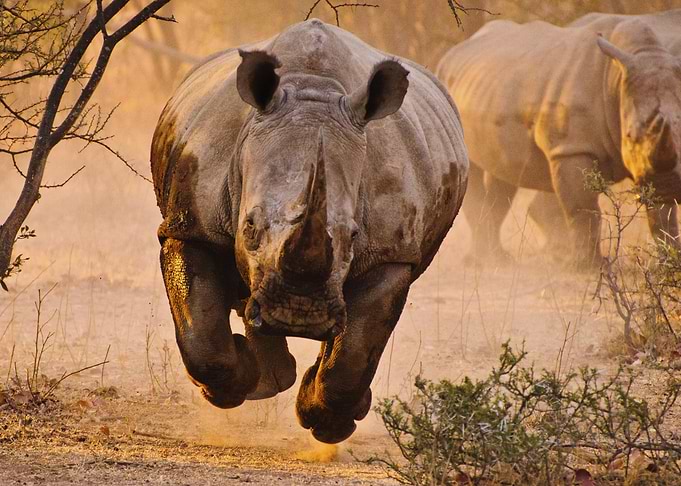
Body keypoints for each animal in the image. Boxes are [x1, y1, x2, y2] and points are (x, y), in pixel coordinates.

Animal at [151, 19, 468, 444]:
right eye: (249, 226)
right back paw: (268, 379)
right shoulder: (190, 225)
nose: (298, 313)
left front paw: (327, 423)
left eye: (353, 236)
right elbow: (202, 338)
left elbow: (354, 354)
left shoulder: (391, 253)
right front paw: (233, 386)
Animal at [436, 9, 681, 265]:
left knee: (502, 175)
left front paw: (669, 262)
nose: (669, 186)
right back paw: (482, 261)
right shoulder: (571, 148)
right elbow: (583, 210)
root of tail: (454, 50)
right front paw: (589, 267)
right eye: (630, 135)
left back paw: (498, 258)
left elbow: (662, 216)